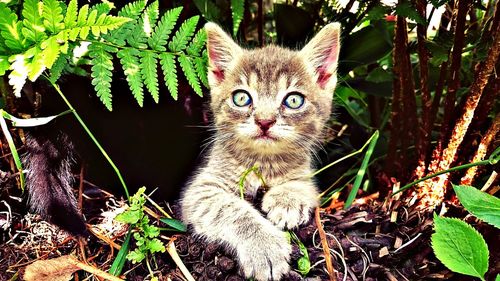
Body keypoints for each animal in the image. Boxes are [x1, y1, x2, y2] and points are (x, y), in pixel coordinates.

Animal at [182, 22, 342, 280]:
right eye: (241, 98)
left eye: (294, 100)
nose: (264, 121)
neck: (263, 162)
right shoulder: (202, 189)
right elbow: (228, 209)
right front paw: (263, 246)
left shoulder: (305, 174)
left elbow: (302, 185)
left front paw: (287, 201)